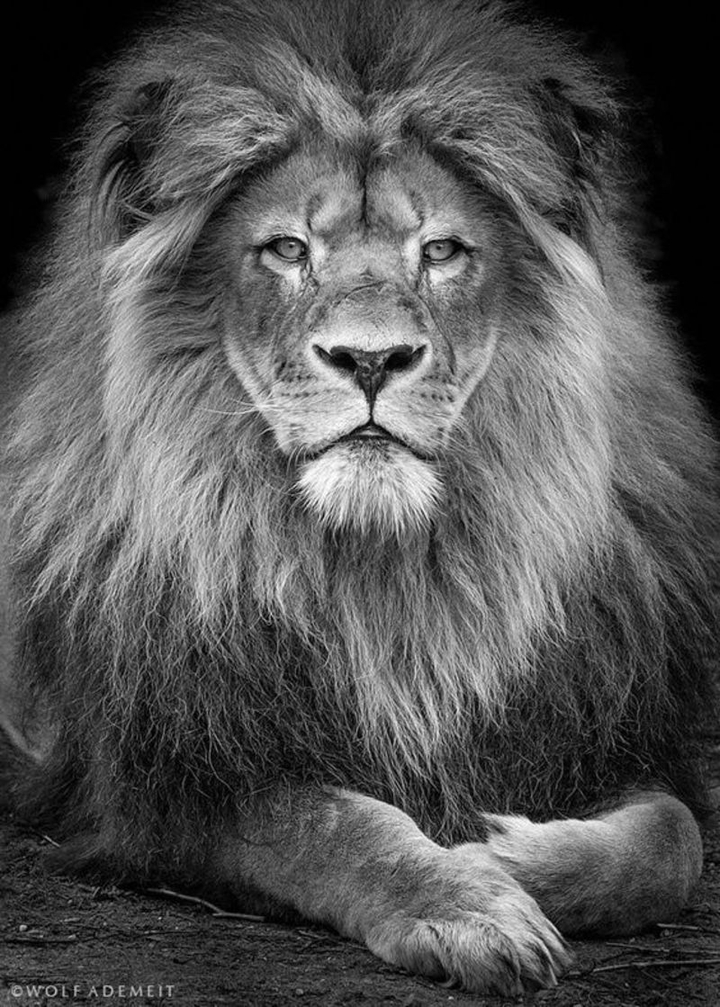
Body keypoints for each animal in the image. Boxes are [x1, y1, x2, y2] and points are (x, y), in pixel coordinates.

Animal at [1, 0, 717, 996]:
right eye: (288, 249)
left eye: (442, 250)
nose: (371, 359)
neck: (387, 569)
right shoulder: (169, 784)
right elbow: (336, 826)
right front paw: (466, 899)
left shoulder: (604, 727)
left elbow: (670, 841)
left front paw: (499, 850)